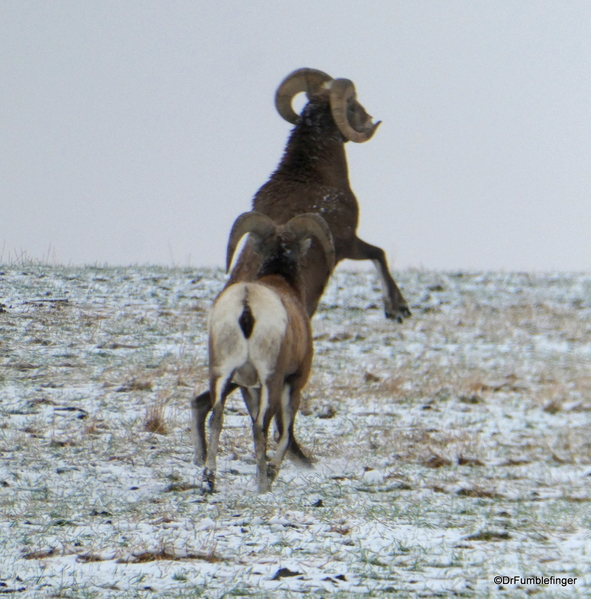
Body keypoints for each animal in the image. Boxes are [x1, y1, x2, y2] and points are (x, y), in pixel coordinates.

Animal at [197, 213, 336, 494]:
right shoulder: (292, 383)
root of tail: (246, 303)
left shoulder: (248, 387)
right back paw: (262, 484)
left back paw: (209, 481)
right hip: (271, 379)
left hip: (220, 373)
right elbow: (285, 432)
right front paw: (271, 472)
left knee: (217, 418)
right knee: (262, 426)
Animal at [230, 67, 412, 324]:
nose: (368, 119)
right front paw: (397, 309)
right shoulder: (347, 244)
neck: (315, 173)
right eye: (352, 103)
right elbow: (379, 254)